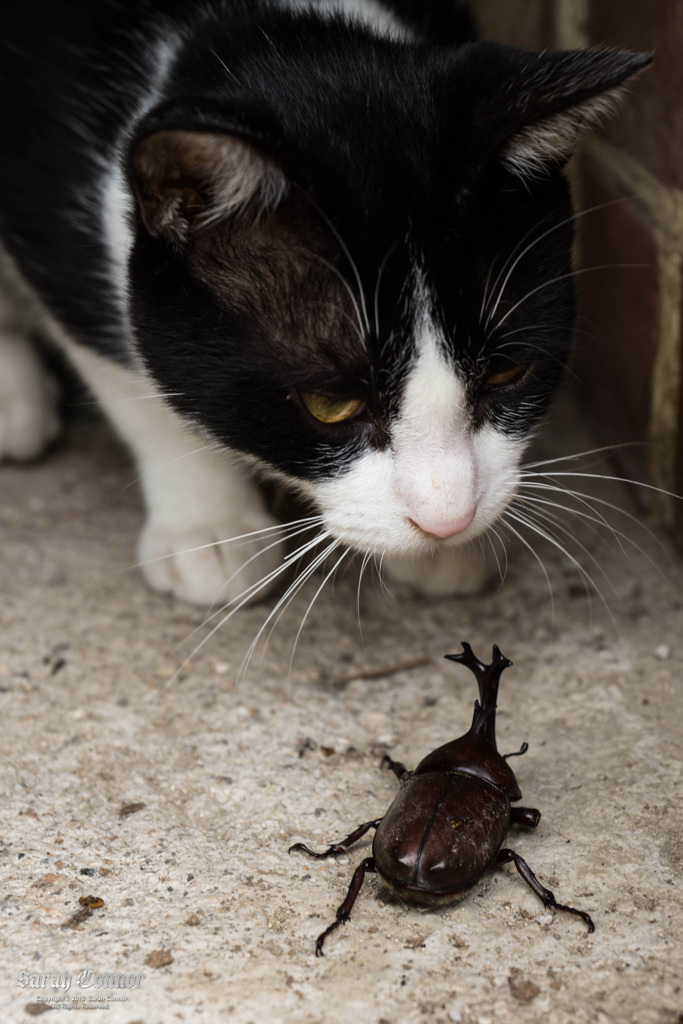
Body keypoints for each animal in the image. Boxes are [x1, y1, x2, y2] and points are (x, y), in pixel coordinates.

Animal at [0, 0, 651, 602]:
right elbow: (130, 377)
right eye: (330, 405)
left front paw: (448, 554)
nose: (448, 520)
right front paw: (208, 526)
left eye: (506, 372)